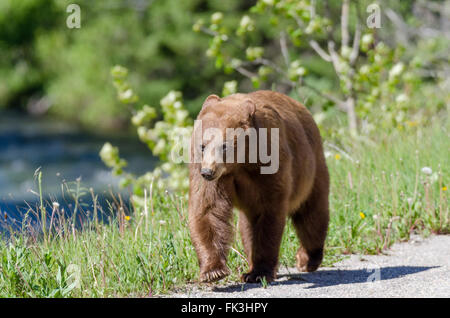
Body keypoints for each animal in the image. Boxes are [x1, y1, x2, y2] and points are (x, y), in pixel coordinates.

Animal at [188, 89, 328, 284]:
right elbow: (208, 209)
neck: (241, 162)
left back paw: (307, 259)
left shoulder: (268, 164)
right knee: (247, 227)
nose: (208, 172)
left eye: (225, 146)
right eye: (202, 145)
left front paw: (260, 272)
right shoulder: (211, 175)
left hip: (311, 171)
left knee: (311, 215)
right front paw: (213, 271)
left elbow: (268, 213)